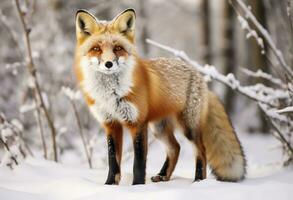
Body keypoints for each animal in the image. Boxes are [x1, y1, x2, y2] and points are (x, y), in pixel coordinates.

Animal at [73, 9, 244, 184]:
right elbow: (113, 162)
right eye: (96, 48)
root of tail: (200, 75)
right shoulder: (111, 123)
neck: (111, 94)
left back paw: (198, 181)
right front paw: (109, 185)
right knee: (175, 148)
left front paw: (138, 186)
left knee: (201, 150)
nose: (108, 64)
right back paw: (163, 176)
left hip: (187, 127)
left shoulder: (137, 122)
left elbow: (139, 162)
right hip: (159, 128)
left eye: (118, 48)